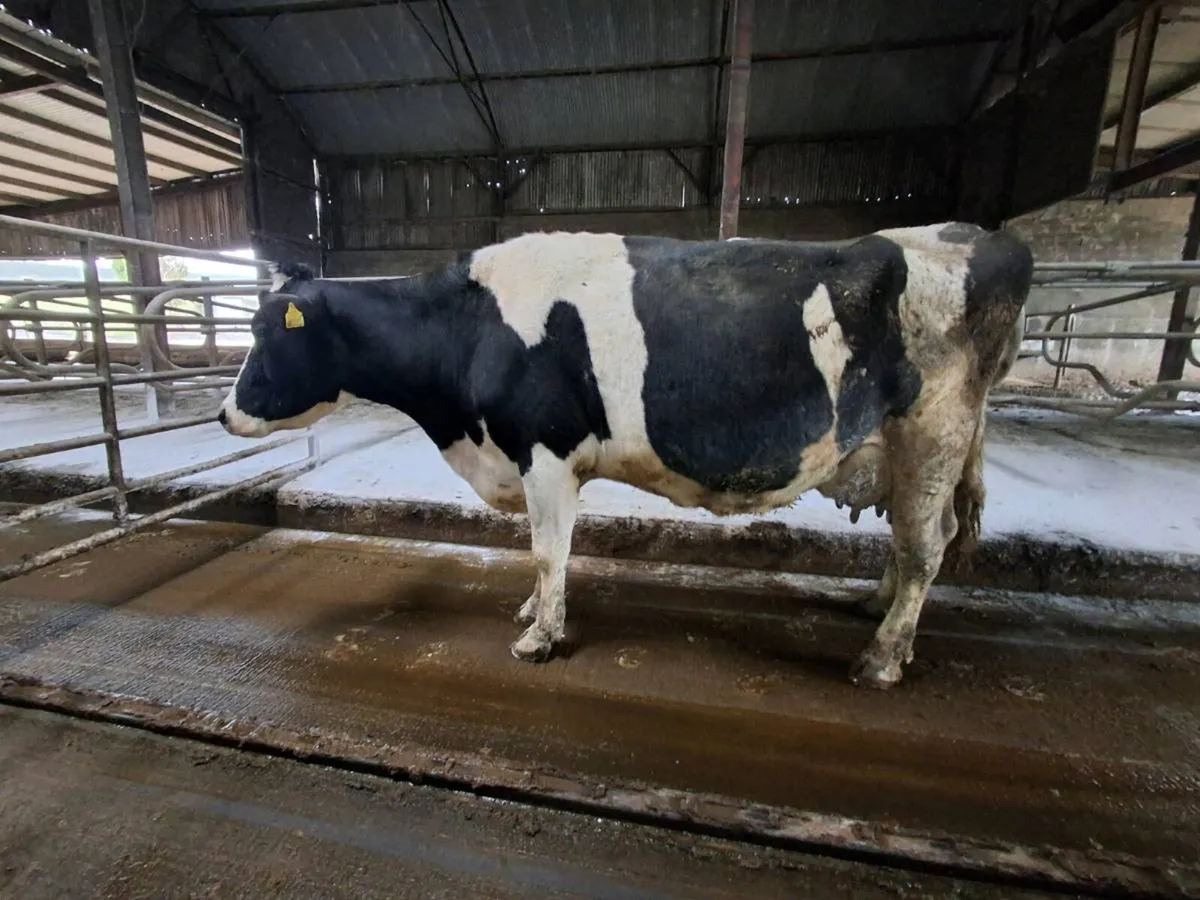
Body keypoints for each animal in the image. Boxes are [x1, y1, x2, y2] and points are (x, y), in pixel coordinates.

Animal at [218, 223, 1033, 689]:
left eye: (266, 335)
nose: (223, 413)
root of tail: (988, 236)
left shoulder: (544, 449)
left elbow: (548, 550)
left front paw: (539, 637)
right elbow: (541, 554)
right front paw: (533, 610)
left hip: (934, 427)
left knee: (926, 545)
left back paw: (883, 657)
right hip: (906, 446)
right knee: (908, 538)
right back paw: (874, 608)